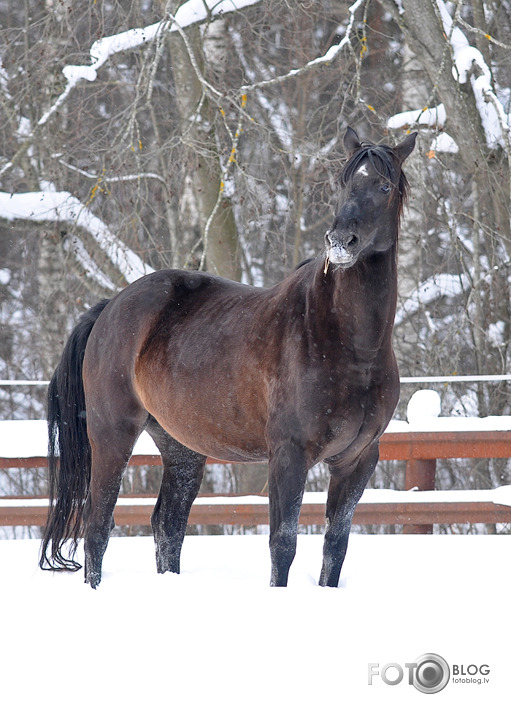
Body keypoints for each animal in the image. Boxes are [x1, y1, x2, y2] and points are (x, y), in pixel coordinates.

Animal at [40, 129, 416, 588]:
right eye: (343, 183)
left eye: (384, 186)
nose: (341, 243)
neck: (348, 344)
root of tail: (111, 307)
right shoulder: (289, 455)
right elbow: (283, 544)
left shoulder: (357, 460)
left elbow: (335, 547)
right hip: (113, 434)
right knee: (98, 527)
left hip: (181, 448)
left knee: (167, 528)